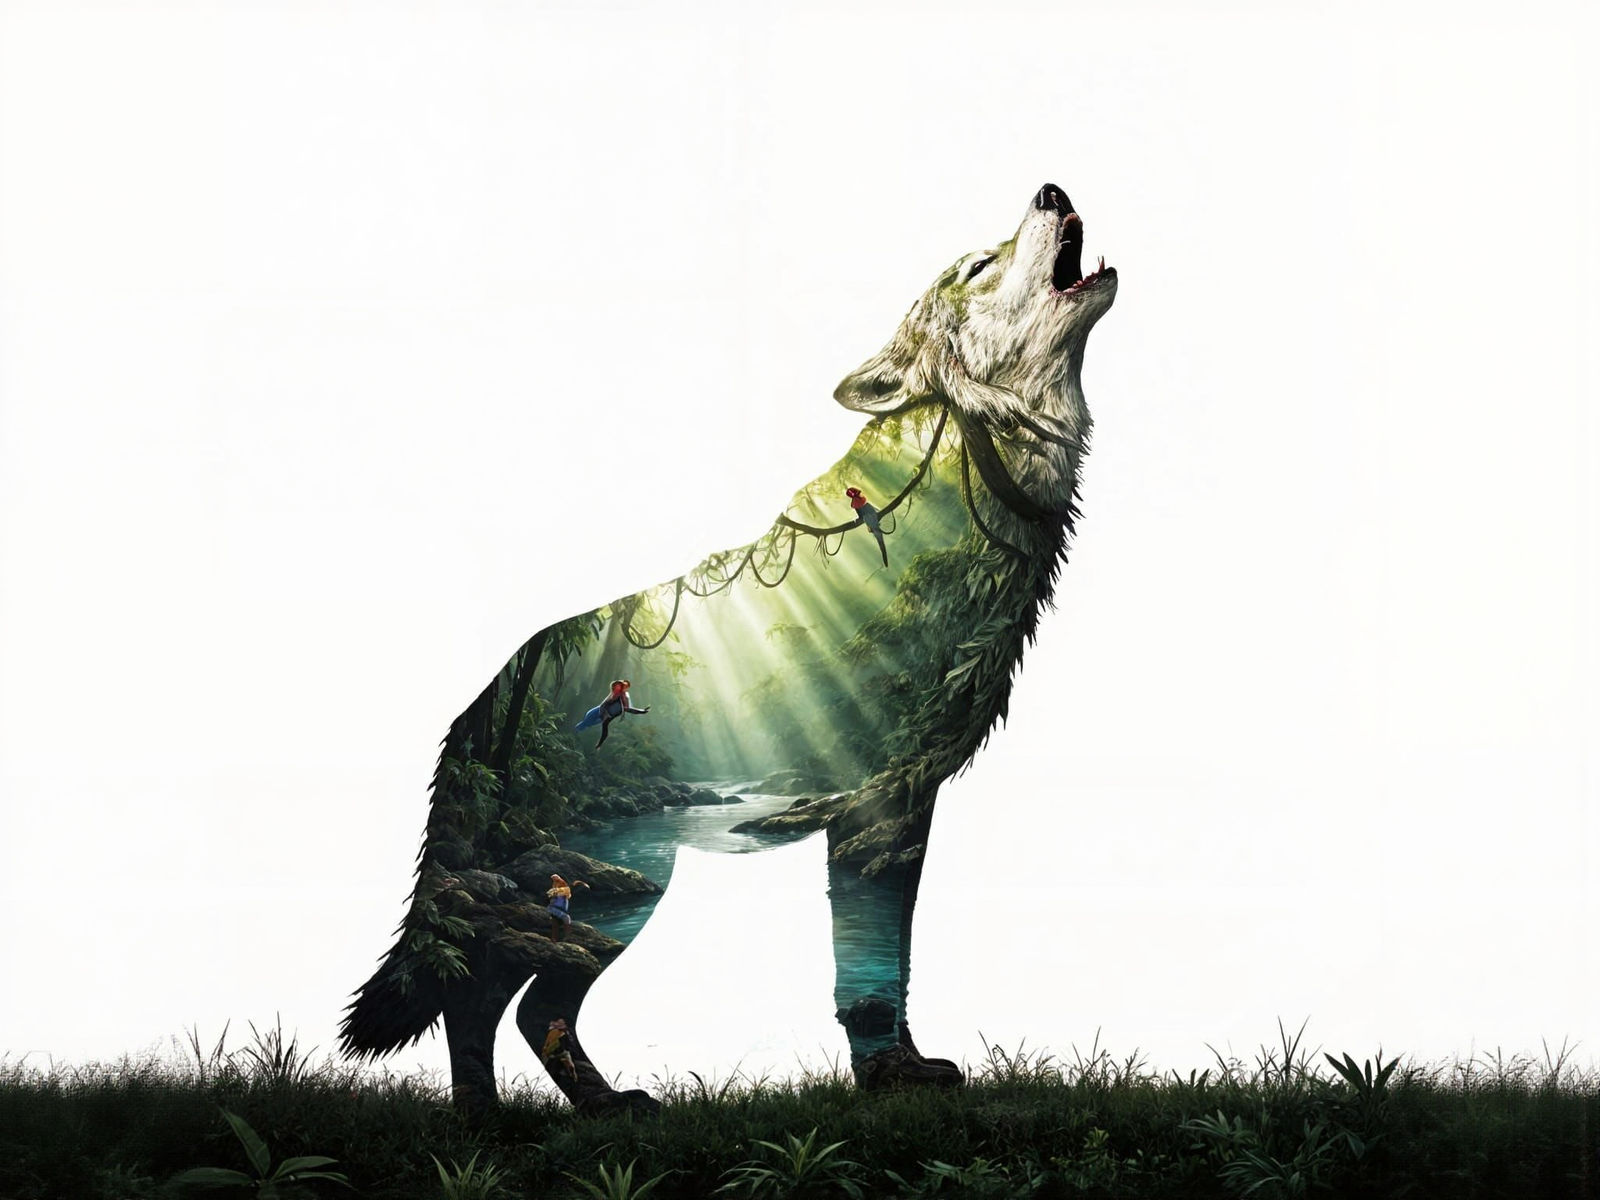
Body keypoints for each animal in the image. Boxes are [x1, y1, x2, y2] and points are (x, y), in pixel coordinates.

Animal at [339, 183, 1117, 1113]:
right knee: (495, 998)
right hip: (611, 892)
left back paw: (564, 1114)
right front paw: (889, 1079)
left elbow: (888, 964)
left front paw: (903, 1070)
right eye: (976, 266)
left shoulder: (907, 803)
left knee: (500, 1003)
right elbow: (866, 973)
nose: (1050, 190)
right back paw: (515, 1123)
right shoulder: (875, 811)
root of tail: (478, 706)